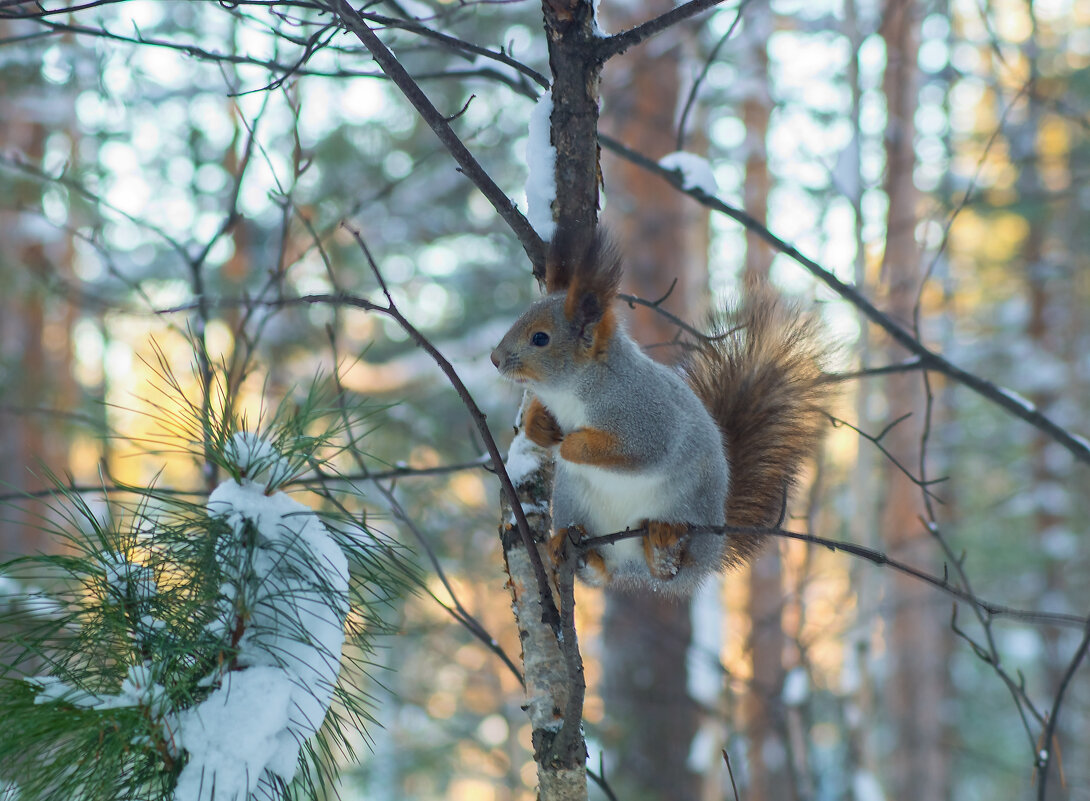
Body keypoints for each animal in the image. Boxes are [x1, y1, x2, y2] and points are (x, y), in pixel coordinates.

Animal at [490, 232, 828, 597]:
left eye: (540, 338)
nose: (495, 358)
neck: (574, 390)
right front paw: (540, 426)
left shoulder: (647, 416)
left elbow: (640, 451)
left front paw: (571, 445)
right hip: (571, 499)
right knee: (600, 571)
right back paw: (573, 547)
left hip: (690, 505)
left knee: (672, 570)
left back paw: (664, 542)